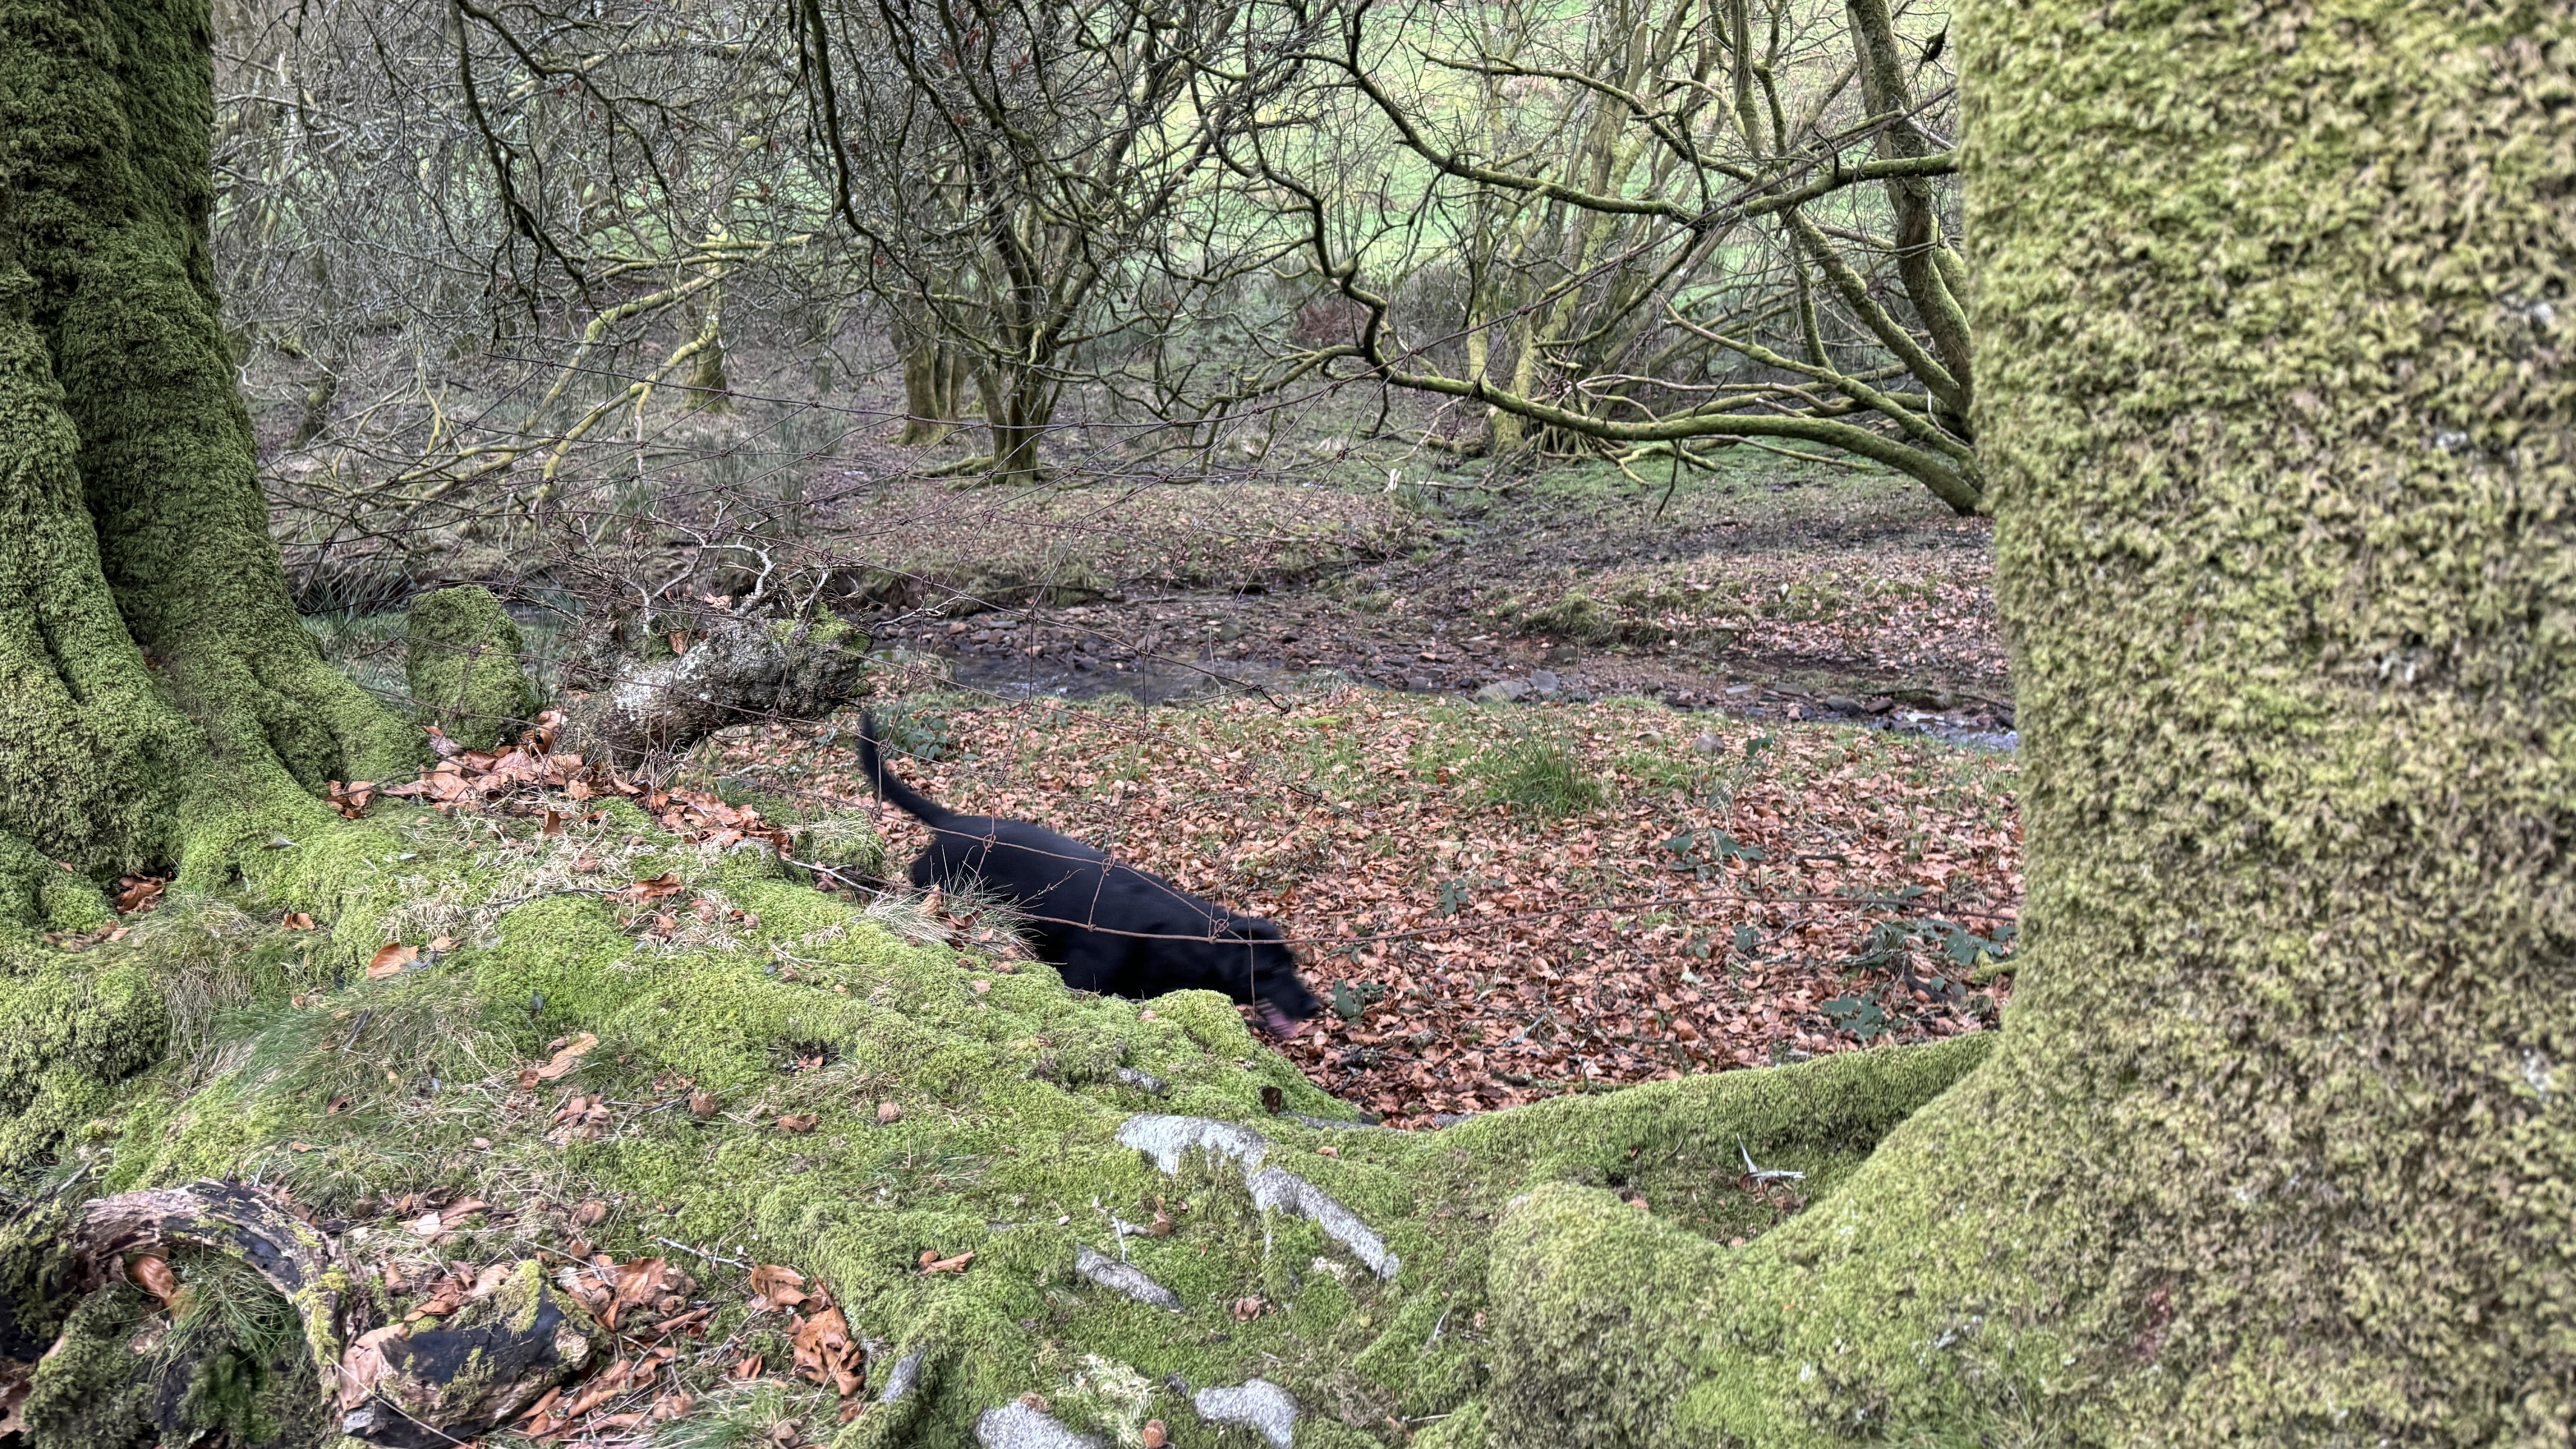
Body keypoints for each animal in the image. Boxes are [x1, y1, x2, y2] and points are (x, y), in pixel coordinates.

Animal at [860, 711, 1319, 1031]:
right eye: (1274, 970)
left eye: (1293, 965)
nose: (1315, 1007)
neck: (1181, 936)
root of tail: (954, 821)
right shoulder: (1084, 978)